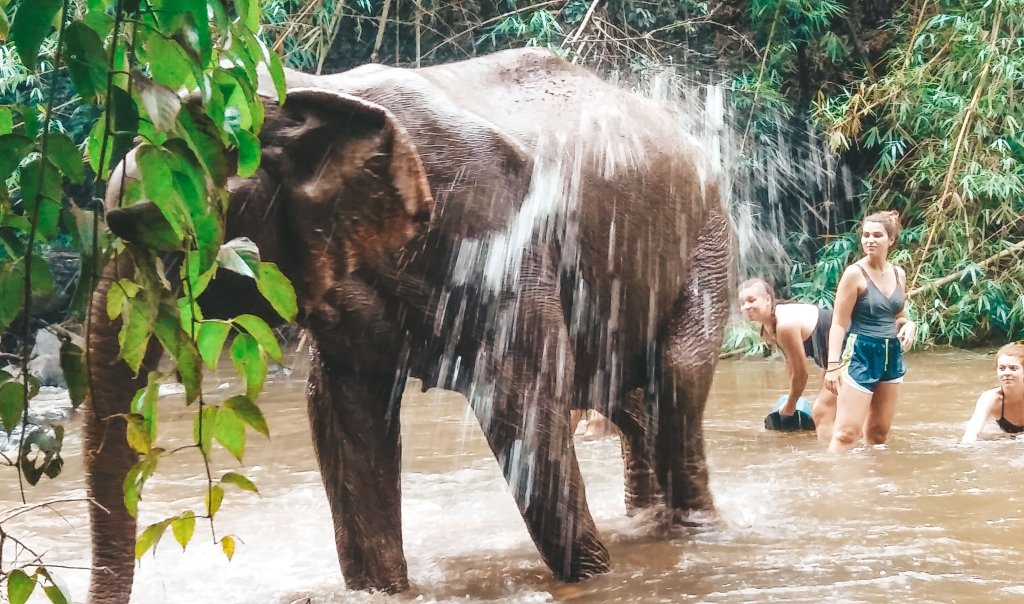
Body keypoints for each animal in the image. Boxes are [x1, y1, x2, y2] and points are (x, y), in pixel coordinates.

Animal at [83, 48, 733, 604]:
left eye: (175, 231)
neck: (308, 93)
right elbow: (344, 415)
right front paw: (383, 591)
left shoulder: (495, 238)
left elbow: (521, 403)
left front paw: (596, 580)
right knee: (627, 400)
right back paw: (649, 522)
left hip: (708, 238)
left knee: (676, 379)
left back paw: (695, 533)